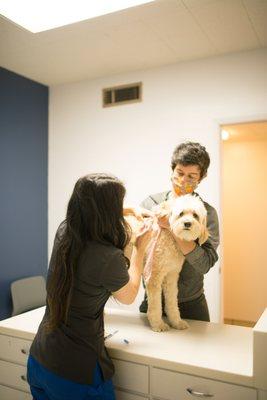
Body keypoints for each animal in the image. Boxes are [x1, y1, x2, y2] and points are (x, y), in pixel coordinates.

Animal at [126, 195, 210, 332]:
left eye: (195, 215)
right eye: (181, 214)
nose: (187, 223)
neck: (171, 237)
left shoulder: (171, 276)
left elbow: (172, 303)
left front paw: (177, 322)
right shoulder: (154, 277)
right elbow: (155, 306)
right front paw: (158, 324)